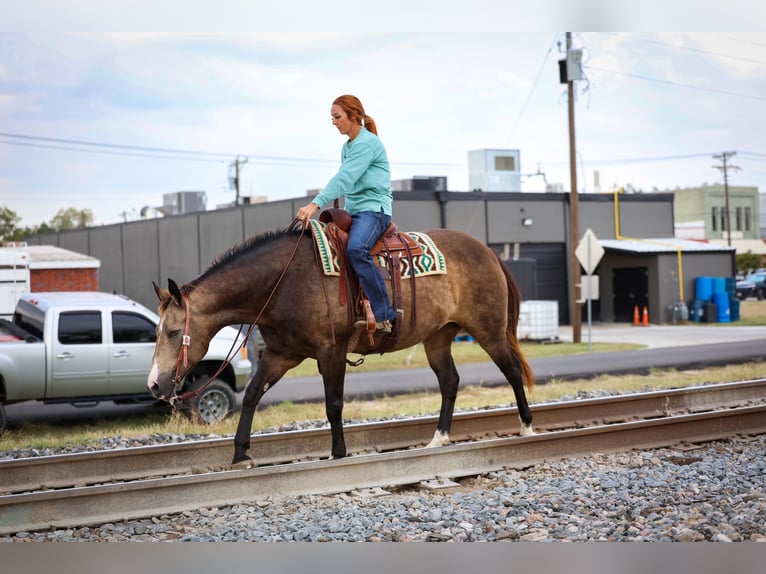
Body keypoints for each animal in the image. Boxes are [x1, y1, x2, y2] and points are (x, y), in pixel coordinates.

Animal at [147, 224, 535, 469]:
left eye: (172, 332)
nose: (154, 384)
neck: (283, 282)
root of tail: (487, 251)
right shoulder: (281, 354)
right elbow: (254, 394)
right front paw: (241, 454)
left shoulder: (330, 352)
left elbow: (333, 404)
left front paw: (337, 453)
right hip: (437, 337)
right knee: (450, 381)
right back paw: (438, 439)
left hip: (488, 331)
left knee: (512, 371)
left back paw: (527, 429)